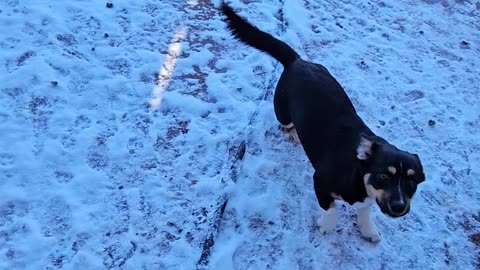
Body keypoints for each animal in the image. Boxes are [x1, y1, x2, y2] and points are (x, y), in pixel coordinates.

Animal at [219, 3, 426, 242]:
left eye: (411, 182)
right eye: (383, 175)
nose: (399, 207)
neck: (356, 169)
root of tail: (297, 60)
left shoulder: (367, 197)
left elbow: (365, 210)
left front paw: (368, 229)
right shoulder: (320, 181)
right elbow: (331, 209)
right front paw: (326, 226)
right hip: (282, 111)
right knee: (285, 125)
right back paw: (292, 134)